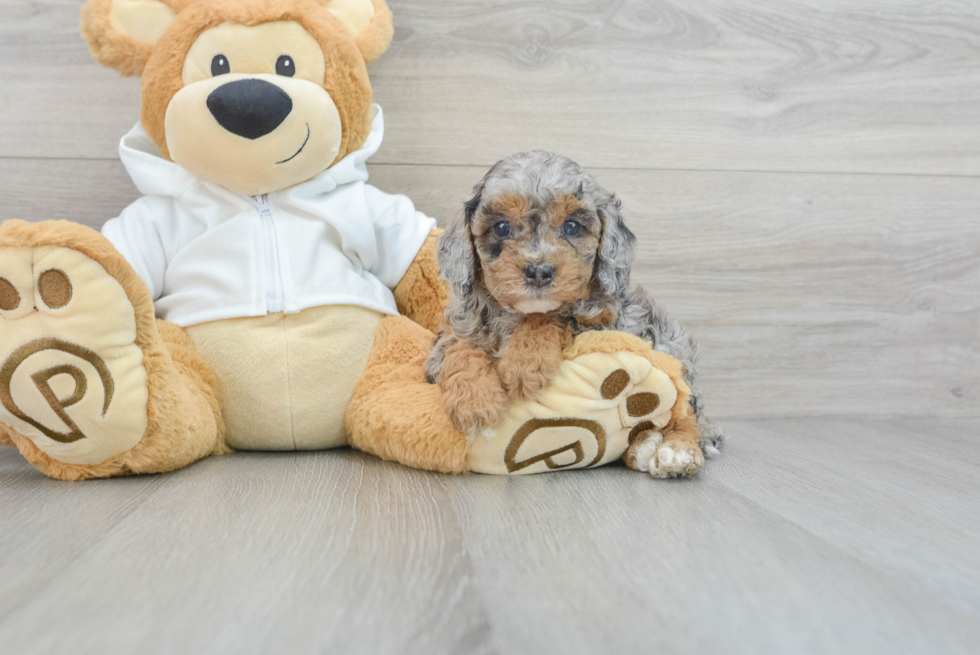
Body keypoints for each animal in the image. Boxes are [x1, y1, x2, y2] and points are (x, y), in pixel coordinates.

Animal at [424, 151, 724, 468]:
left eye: (571, 226)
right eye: (501, 227)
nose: (539, 272)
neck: (517, 313)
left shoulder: (605, 326)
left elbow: (555, 317)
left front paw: (525, 363)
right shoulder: (450, 338)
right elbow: (459, 347)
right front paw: (476, 401)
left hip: (672, 350)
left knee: (685, 413)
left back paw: (676, 450)